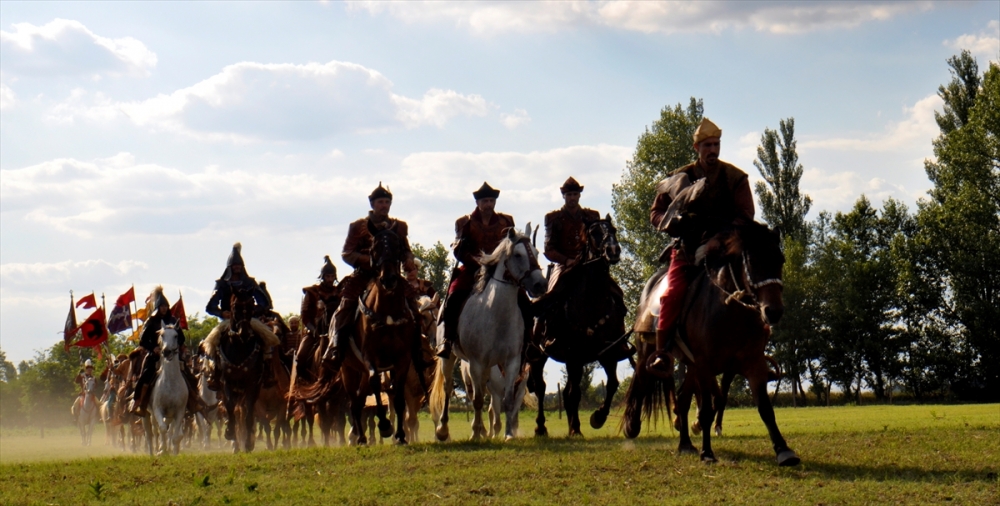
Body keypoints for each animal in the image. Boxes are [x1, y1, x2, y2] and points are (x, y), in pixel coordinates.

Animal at [148, 326, 189, 456]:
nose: (166, 351)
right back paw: (157, 448)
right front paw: (162, 450)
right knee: (155, 429)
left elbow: (177, 436)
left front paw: (174, 451)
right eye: (161, 335)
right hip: (152, 413)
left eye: (176, 335)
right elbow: (162, 428)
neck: (171, 382)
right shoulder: (157, 409)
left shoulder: (179, 411)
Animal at [430, 223, 548, 440]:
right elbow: (477, 400)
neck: (496, 315)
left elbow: (507, 401)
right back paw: (443, 430)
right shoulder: (476, 363)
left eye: (536, 253)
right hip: (450, 358)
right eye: (518, 254)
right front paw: (476, 434)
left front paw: (509, 435)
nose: (540, 285)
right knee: (448, 387)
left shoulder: (512, 363)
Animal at [528, 215, 628, 436]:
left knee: (566, 392)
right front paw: (576, 428)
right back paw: (541, 426)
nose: (613, 250)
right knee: (541, 387)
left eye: (614, 230)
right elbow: (574, 393)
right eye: (594, 232)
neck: (591, 302)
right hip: (539, 356)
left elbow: (612, 384)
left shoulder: (608, 352)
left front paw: (598, 417)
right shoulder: (573, 355)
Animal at [620, 221, 800, 466]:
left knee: (682, 399)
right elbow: (706, 409)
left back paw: (685, 443)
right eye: (753, 261)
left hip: (691, 365)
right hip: (648, 349)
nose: (773, 311)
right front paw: (707, 452)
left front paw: (783, 449)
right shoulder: (705, 365)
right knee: (641, 380)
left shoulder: (752, 364)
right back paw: (632, 424)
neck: (729, 311)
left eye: (779, 260)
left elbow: (764, 407)